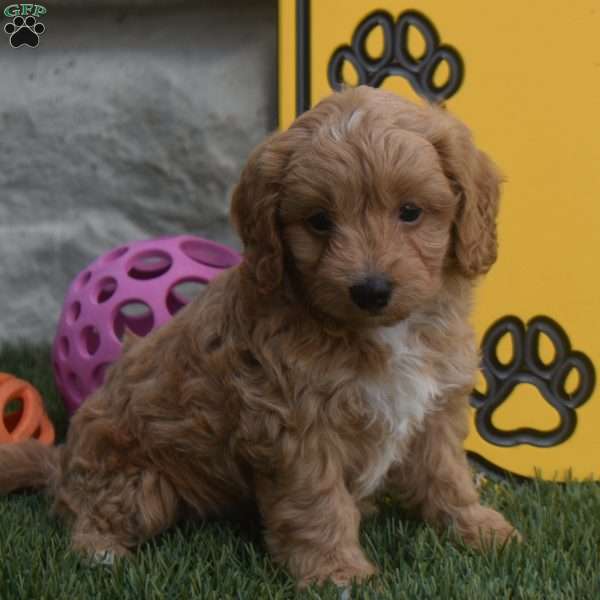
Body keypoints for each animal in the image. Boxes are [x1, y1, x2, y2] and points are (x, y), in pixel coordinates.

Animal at [0, 85, 516, 584]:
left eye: (410, 212)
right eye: (319, 220)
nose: (370, 290)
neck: (382, 333)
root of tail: (63, 462)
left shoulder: (434, 407)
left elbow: (446, 473)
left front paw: (476, 527)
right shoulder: (296, 429)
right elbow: (318, 505)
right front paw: (336, 572)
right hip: (137, 482)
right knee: (88, 514)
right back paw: (101, 552)